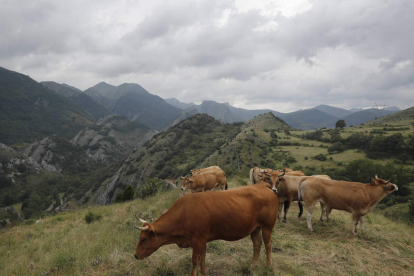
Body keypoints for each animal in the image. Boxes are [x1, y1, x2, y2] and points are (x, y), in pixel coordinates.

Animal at [134, 183, 280, 276]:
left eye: (143, 239)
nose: (135, 255)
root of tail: (262, 186)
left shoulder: (198, 238)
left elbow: (195, 260)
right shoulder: (202, 240)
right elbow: (203, 257)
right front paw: (203, 272)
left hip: (267, 227)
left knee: (268, 245)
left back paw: (269, 266)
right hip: (255, 228)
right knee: (257, 244)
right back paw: (253, 266)